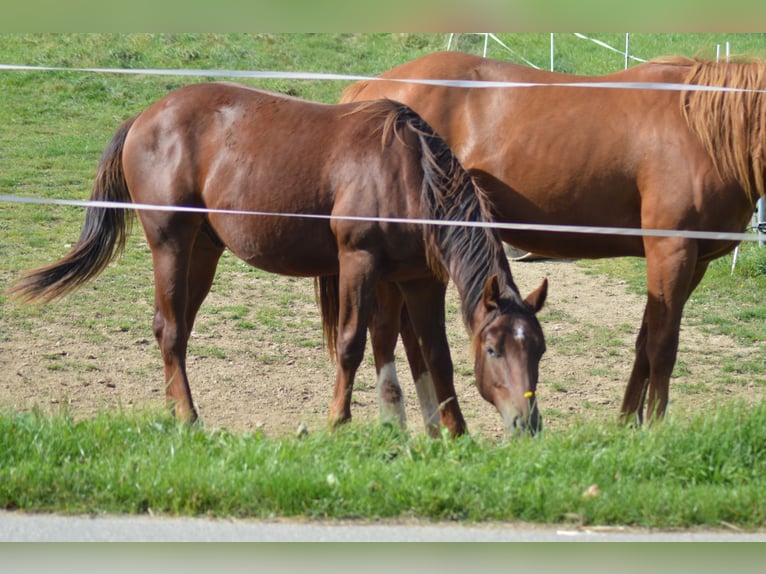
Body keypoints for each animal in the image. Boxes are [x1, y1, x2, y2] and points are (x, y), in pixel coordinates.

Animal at [7, 83, 544, 438]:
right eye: (494, 350)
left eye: (536, 349)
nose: (527, 422)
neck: (410, 174)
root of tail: (143, 117)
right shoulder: (359, 263)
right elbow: (352, 344)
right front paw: (338, 422)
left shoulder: (418, 281)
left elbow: (433, 355)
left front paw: (451, 434)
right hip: (170, 244)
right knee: (170, 328)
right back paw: (187, 417)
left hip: (203, 250)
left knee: (177, 330)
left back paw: (174, 409)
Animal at [344, 53, 766, 428]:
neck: (700, 132)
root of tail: (369, 90)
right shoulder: (671, 251)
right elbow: (662, 347)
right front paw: (656, 429)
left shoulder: (693, 263)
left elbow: (645, 343)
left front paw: (627, 425)